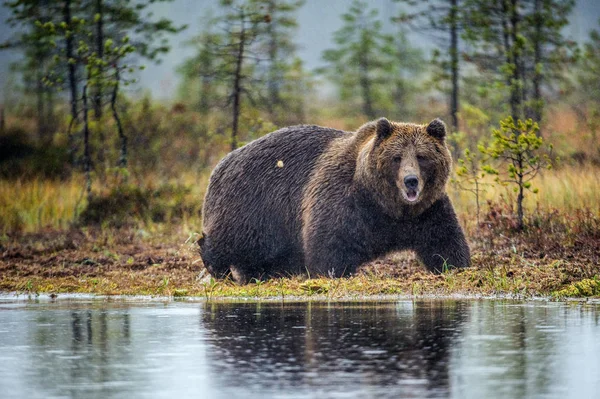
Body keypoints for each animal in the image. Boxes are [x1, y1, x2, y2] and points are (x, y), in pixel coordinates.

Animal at [199, 118, 472, 284]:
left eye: (421, 156)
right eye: (396, 157)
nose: (411, 181)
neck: (387, 205)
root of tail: (220, 165)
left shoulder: (428, 211)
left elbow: (445, 242)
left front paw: (456, 266)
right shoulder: (344, 199)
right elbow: (330, 245)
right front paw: (333, 273)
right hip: (252, 204)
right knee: (232, 239)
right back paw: (218, 268)